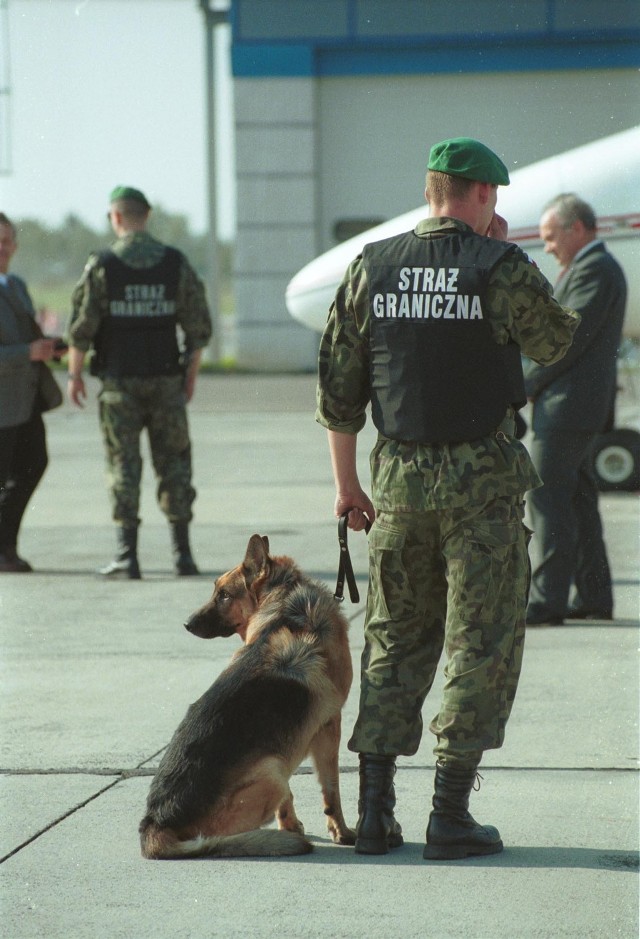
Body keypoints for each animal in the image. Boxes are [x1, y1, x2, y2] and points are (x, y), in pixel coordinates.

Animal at [139, 536, 356, 860]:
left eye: (224, 595)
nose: (187, 624)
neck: (286, 604)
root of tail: (154, 821)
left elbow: (290, 802)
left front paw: (290, 825)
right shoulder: (330, 727)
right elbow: (332, 790)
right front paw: (341, 833)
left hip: (275, 766)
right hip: (272, 772)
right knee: (216, 838)